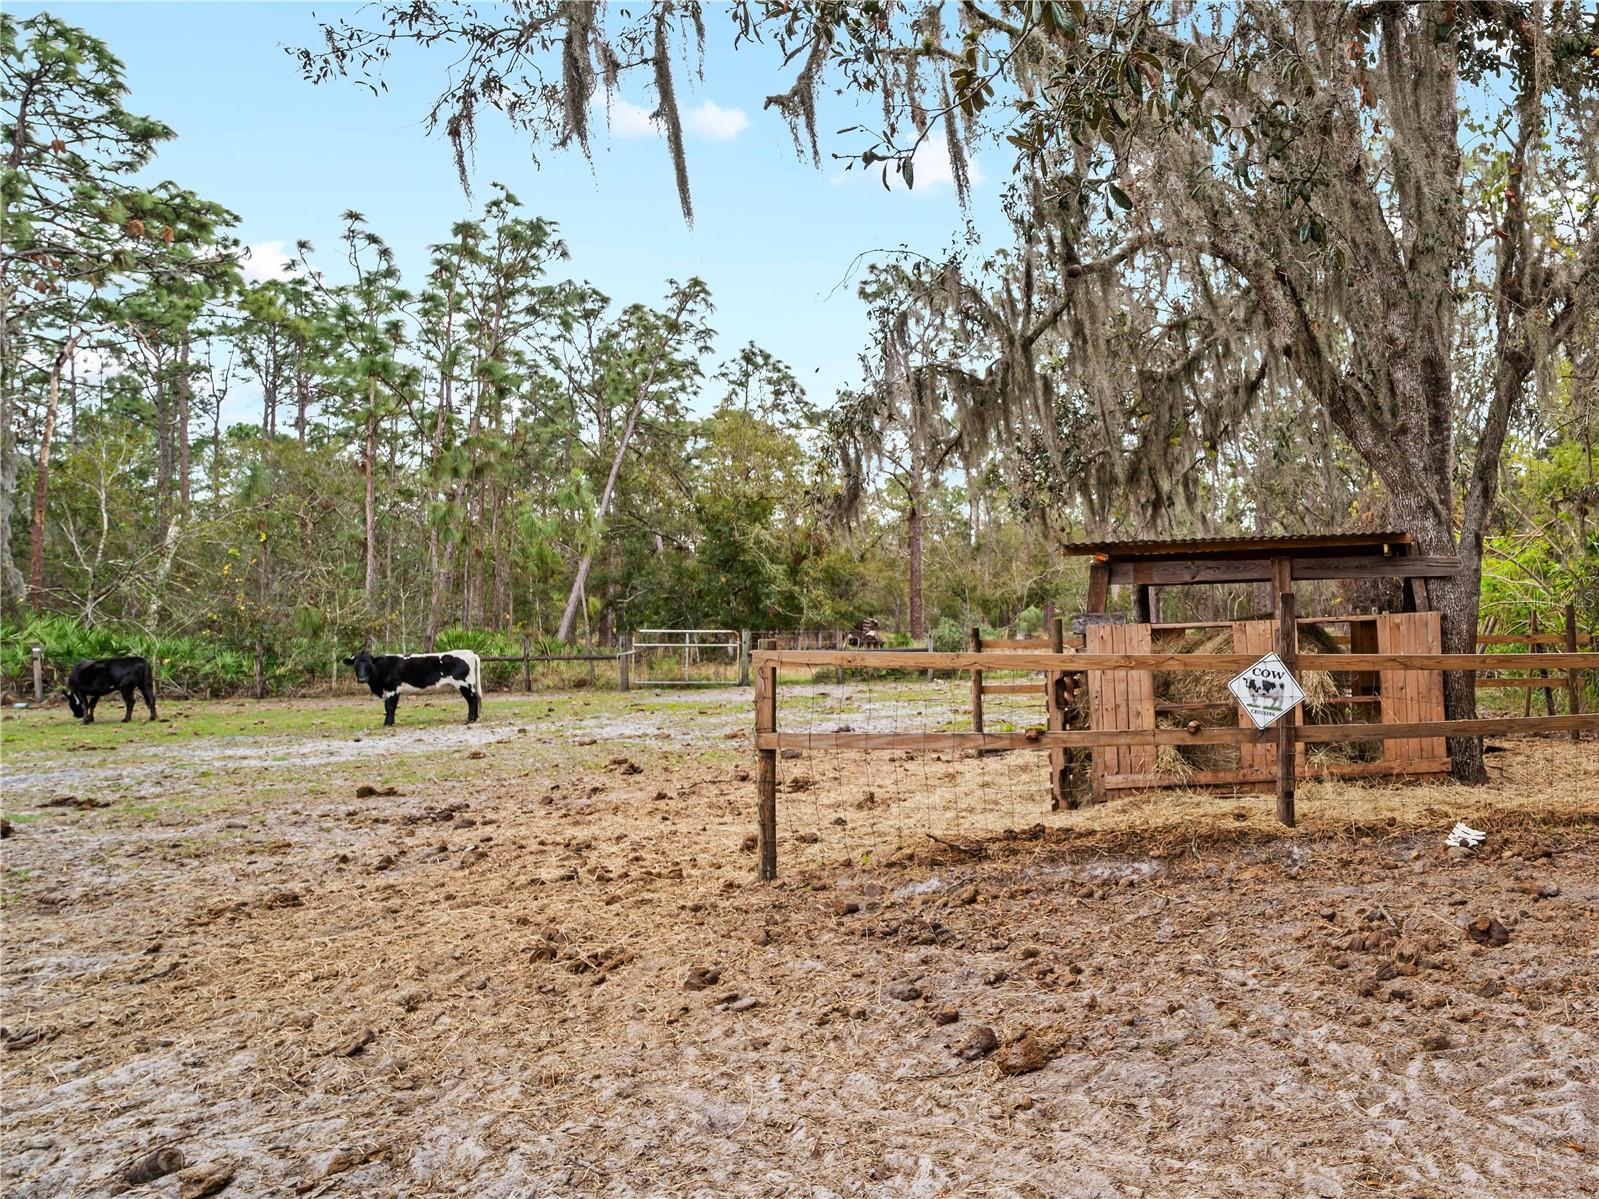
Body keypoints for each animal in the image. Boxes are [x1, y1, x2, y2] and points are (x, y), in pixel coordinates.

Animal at [343, 652, 479, 728]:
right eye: (355, 664)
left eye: (369, 664)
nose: (361, 679)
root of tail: (470, 652)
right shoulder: (387, 691)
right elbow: (386, 708)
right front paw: (387, 722)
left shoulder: (393, 690)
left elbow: (390, 707)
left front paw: (388, 723)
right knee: (475, 698)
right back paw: (475, 717)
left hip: (464, 684)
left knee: (471, 700)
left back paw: (470, 719)